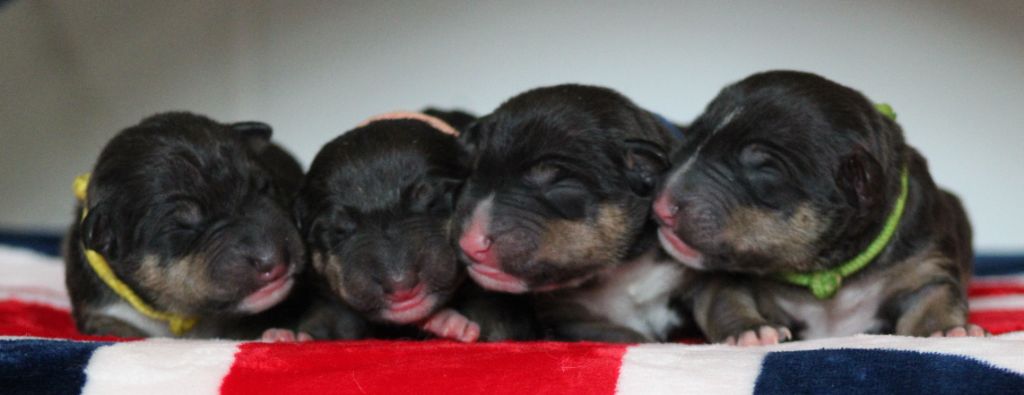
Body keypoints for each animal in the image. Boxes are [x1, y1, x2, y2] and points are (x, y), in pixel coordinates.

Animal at [65, 112, 307, 339]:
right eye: (182, 225)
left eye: (264, 187)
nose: (273, 261)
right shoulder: (100, 309)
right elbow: (117, 330)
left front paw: (278, 334)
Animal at [651, 71, 978, 345]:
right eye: (691, 137)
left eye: (764, 169)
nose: (661, 205)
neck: (825, 268)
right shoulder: (724, 277)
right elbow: (723, 298)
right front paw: (750, 330)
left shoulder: (923, 263)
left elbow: (934, 297)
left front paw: (947, 330)